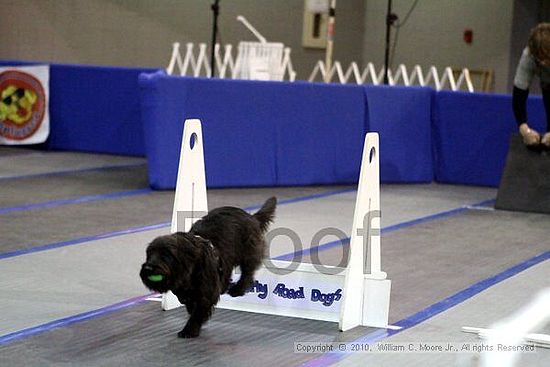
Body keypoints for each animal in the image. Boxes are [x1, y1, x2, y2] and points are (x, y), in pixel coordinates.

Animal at [140, 198, 278, 340]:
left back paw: (237, 289)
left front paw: (189, 330)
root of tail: (251, 216)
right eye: (149, 254)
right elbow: (191, 305)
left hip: (248, 251)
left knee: (248, 273)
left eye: (166, 255)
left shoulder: (206, 292)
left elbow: (198, 310)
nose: (149, 268)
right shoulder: (186, 293)